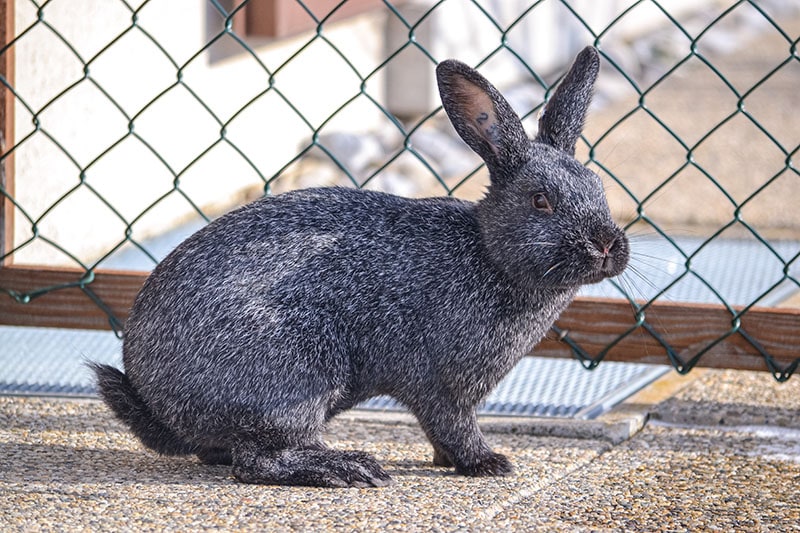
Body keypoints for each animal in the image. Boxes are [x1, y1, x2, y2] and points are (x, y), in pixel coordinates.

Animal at [92, 45, 632, 486]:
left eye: (598, 188)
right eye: (541, 201)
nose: (608, 244)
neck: (488, 254)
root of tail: (153, 396)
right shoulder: (440, 385)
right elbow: (453, 427)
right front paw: (487, 464)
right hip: (297, 371)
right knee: (256, 461)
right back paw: (347, 468)